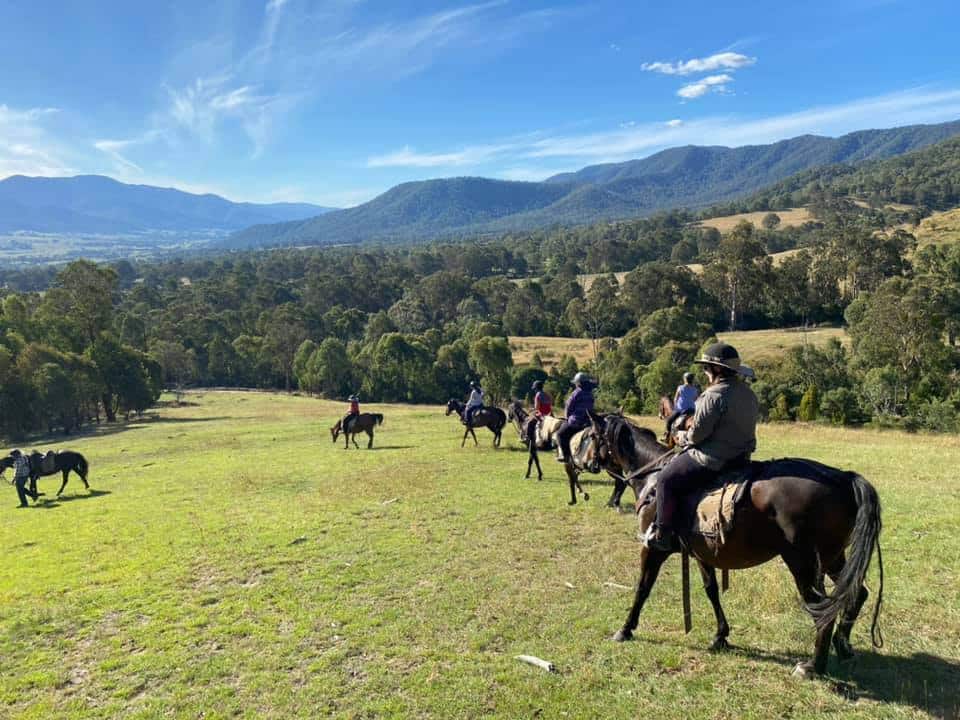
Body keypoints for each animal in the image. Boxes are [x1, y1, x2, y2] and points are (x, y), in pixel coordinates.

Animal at [580, 416, 880, 680]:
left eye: (592, 435)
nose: (585, 462)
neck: (652, 480)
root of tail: (843, 477)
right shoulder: (701, 553)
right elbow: (711, 590)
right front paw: (721, 635)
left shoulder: (652, 549)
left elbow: (642, 588)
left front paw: (625, 629)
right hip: (832, 557)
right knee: (857, 593)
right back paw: (843, 647)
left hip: (802, 562)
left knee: (822, 609)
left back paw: (812, 667)